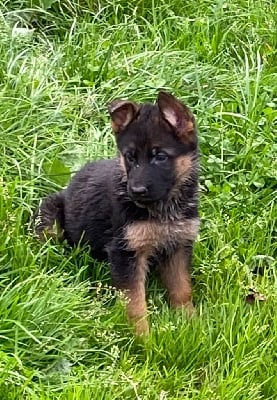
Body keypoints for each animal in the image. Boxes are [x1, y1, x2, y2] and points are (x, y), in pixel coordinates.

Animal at [35, 91, 198, 334]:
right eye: (130, 157)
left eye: (160, 157)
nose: (136, 190)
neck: (162, 208)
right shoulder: (125, 252)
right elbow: (135, 302)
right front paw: (141, 337)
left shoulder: (178, 246)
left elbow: (182, 288)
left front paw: (190, 323)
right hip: (50, 218)